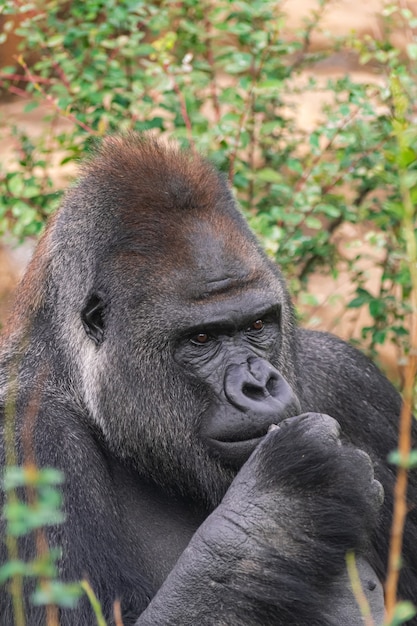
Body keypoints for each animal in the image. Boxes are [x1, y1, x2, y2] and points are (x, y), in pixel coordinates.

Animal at [0, 134, 414, 620]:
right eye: (201, 338)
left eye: (257, 325)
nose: (259, 385)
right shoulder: (26, 440)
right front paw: (286, 507)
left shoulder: (352, 381)